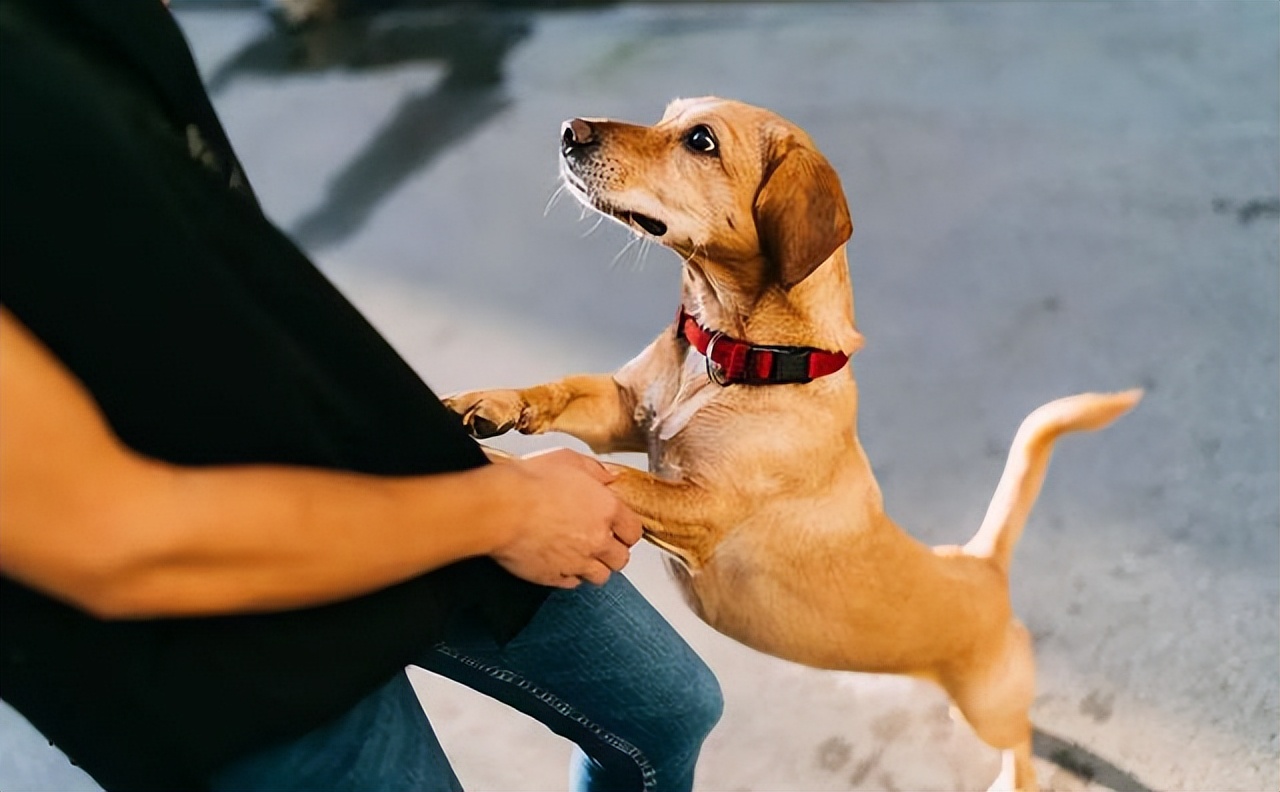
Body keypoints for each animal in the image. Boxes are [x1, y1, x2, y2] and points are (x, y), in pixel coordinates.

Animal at [448, 99, 1141, 792]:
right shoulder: (621, 412)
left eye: (701, 141)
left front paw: (500, 476)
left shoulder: (699, 509)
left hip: (988, 709)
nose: (570, 132)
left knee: (1019, 742)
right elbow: (556, 391)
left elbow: (598, 476)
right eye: (668, 115)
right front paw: (484, 406)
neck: (733, 354)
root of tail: (980, 563)